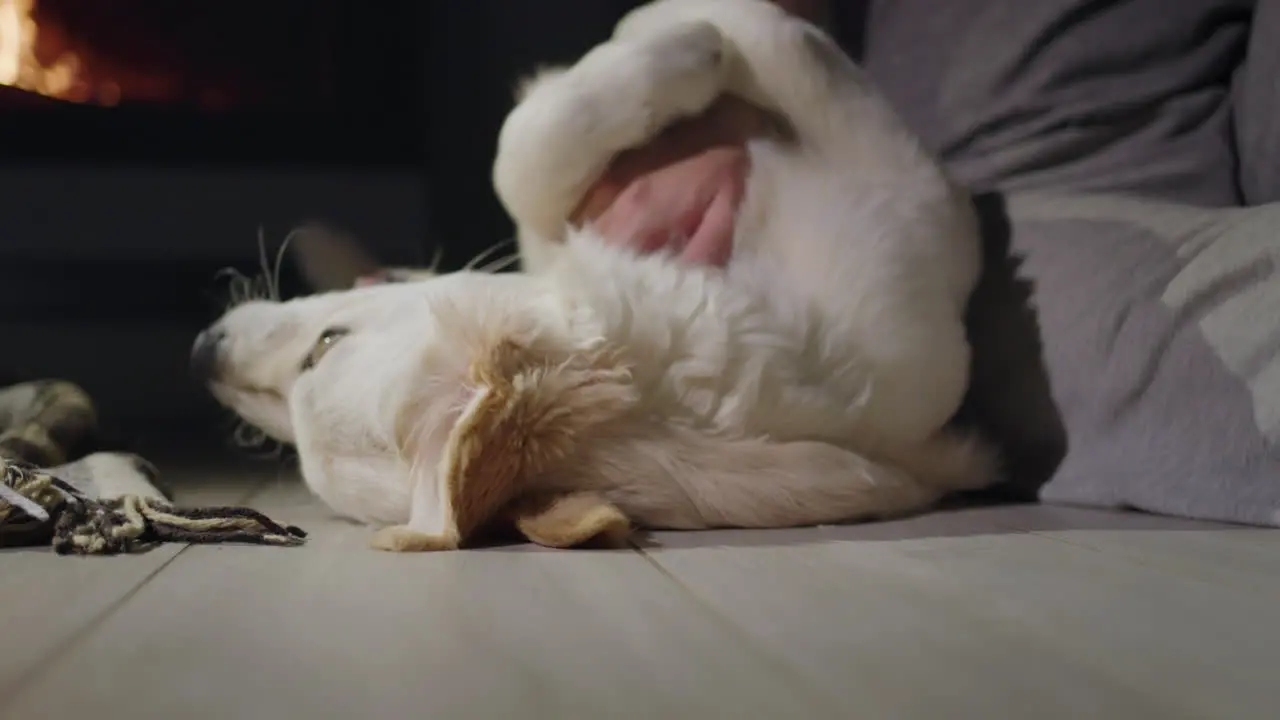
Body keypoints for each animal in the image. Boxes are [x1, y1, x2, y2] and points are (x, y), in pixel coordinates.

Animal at [192, 0, 988, 548]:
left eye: (326, 343)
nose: (201, 351)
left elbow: (521, 162)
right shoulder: (901, 189)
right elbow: (758, 33)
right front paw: (685, 38)